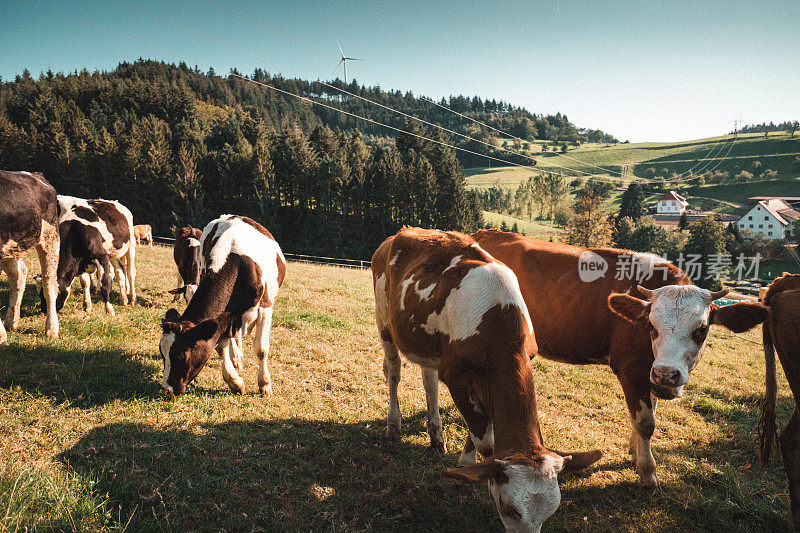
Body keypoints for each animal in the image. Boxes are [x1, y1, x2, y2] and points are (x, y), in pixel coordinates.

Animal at [0, 171, 59, 344]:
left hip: (49, 236)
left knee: (49, 282)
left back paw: (51, 329)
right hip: (10, 248)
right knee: (19, 274)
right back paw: (11, 322)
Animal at [159, 214, 288, 396]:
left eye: (181, 356)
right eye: (162, 353)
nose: (167, 390)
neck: (237, 268)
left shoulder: (265, 307)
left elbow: (261, 349)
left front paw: (264, 384)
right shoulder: (223, 317)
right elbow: (221, 347)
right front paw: (235, 382)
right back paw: (236, 356)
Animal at [374, 229, 600, 532]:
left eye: (550, 513)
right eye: (508, 509)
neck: (497, 320)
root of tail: (397, 235)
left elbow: (482, 427)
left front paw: (464, 460)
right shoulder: (456, 376)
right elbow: (486, 439)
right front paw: (472, 469)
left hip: (429, 346)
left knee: (429, 381)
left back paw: (436, 434)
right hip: (384, 320)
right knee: (394, 372)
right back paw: (394, 425)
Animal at [468, 229, 768, 486]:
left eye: (701, 329)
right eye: (651, 326)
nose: (668, 373)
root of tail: (486, 234)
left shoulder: (651, 374)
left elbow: (648, 412)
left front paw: (635, 453)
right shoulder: (632, 369)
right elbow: (646, 423)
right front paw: (648, 472)